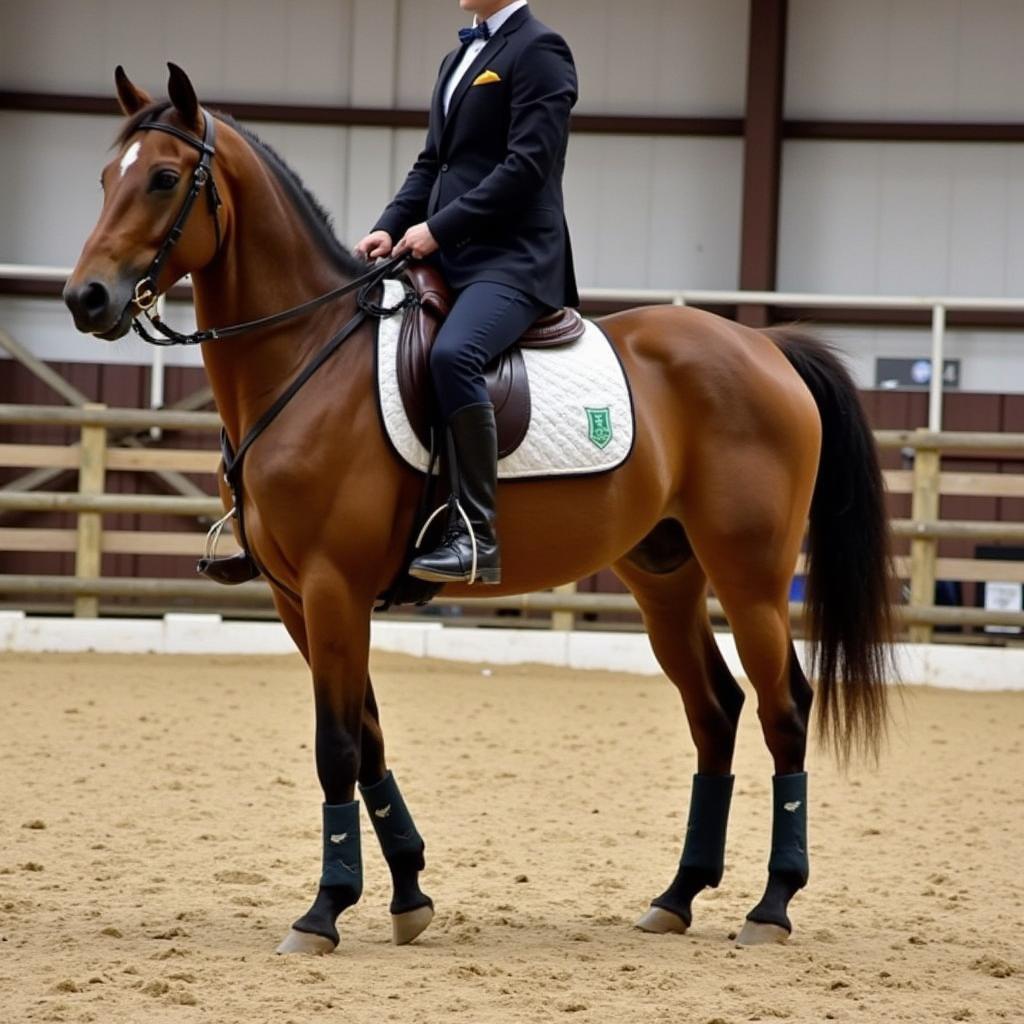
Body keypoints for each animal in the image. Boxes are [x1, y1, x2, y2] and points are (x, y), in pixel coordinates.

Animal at [64, 68, 892, 954]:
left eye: (163, 178)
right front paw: (407, 893)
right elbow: (368, 739)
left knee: (784, 710)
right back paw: (676, 896)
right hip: (666, 577)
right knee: (715, 711)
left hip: (751, 577)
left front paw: (324, 910)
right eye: (105, 177)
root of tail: (768, 348)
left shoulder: (332, 587)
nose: (85, 299)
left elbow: (337, 746)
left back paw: (772, 904)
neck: (305, 355)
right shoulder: (296, 598)